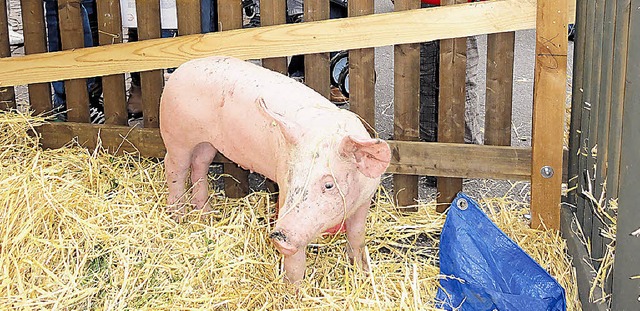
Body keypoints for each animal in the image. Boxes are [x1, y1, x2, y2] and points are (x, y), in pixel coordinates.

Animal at [160, 56, 390, 286]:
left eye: (329, 184)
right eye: (291, 175)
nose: (279, 237)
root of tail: (179, 70)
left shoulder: (365, 199)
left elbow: (356, 235)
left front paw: (362, 273)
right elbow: (296, 259)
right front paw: (294, 290)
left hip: (206, 143)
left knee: (199, 166)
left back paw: (207, 215)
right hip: (176, 135)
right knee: (174, 168)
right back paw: (178, 217)